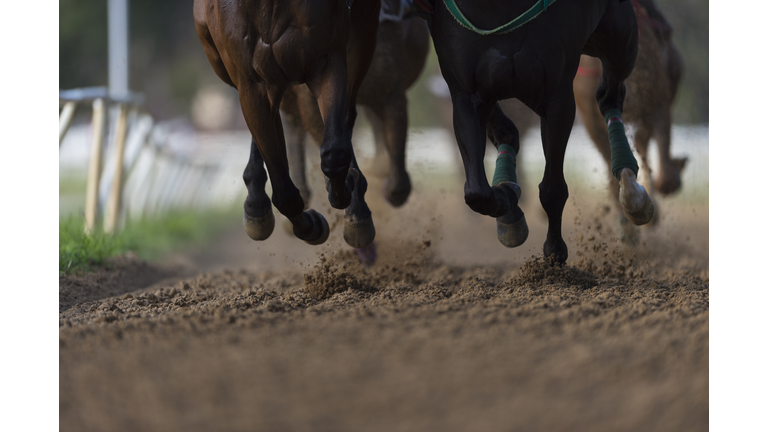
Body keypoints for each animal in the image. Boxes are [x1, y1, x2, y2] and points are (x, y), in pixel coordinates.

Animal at [194, 0, 382, 250]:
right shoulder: (251, 84)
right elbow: (284, 192)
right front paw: (311, 225)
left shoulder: (327, 60)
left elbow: (335, 152)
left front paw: (346, 190)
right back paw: (257, 204)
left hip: (362, 35)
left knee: (345, 118)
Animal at [414, 0, 656, 264]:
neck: (495, 8)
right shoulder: (466, 92)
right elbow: (477, 192)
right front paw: (509, 202)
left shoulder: (556, 95)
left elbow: (553, 189)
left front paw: (554, 251)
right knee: (506, 132)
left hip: (619, 38)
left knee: (609, 95)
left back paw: (633, 193)